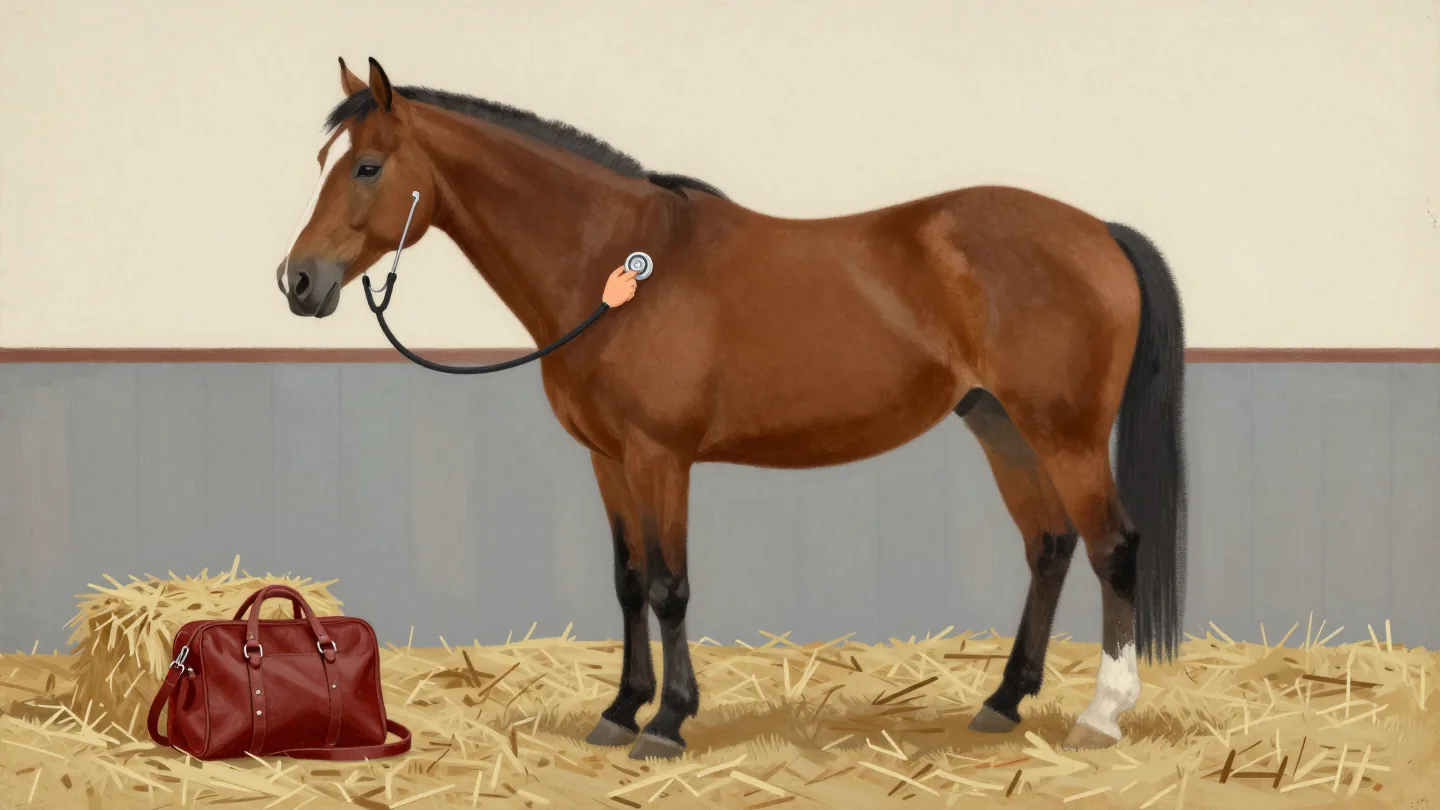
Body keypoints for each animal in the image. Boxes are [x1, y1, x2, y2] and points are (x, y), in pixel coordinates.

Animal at [277, 56, 1187, 760]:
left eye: (367, 167)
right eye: (325, 161)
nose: (299, 281)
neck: (612, 269)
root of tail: (1097, 231)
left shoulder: (661, 457)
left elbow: (670, 586)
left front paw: (668, 722)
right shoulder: (608, 459)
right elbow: (627, 582)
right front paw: (620, 710)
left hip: (1065, 435)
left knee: (1113, 548)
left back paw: (1101, 716)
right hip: (1001, 426)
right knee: (1050, 546)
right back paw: (1003, 701)